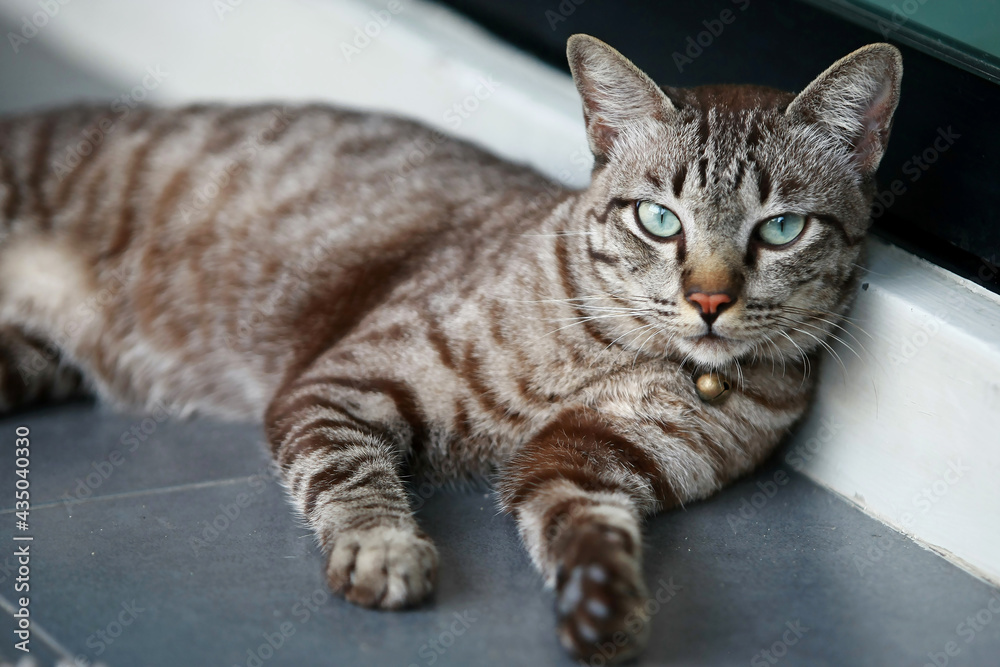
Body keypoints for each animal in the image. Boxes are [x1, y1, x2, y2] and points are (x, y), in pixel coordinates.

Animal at [0, 36, 900, 664]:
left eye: (780, 229)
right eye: (659, 219)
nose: (710, 301)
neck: (620, 349)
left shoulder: (587, 458)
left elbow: (591, 530)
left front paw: (604, 603)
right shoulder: (340, 385)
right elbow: (353, 479)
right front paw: (384, 549)